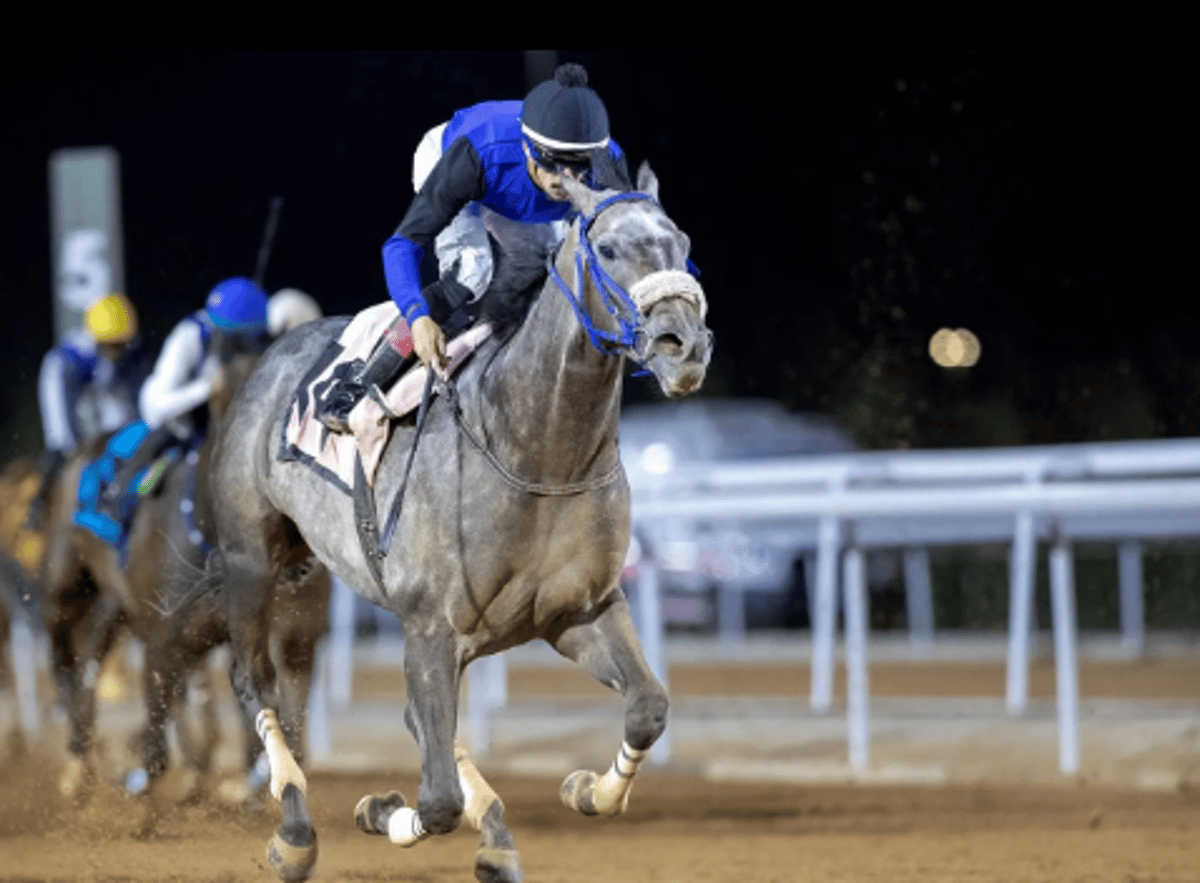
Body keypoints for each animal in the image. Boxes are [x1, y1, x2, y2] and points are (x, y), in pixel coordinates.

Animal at [40, 345, 331, 811]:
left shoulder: (297, 635)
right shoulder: (165, 635)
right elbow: (157, 743)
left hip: (117, 605)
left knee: (93, 650)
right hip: (64, 588)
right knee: (64, 657)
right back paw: (77, 763)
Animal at [205, 162, 712, 882]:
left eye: (681, 242)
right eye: (609, 249)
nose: (683, 345)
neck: (535, 450)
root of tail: (272, 354)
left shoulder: (576, 610)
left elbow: (647, 707)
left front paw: (588, 789)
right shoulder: (432, 628)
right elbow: (437, 798)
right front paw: (382, 809)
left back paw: (494, 830)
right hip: (251, 557)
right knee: (256, 682)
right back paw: (296, 833)